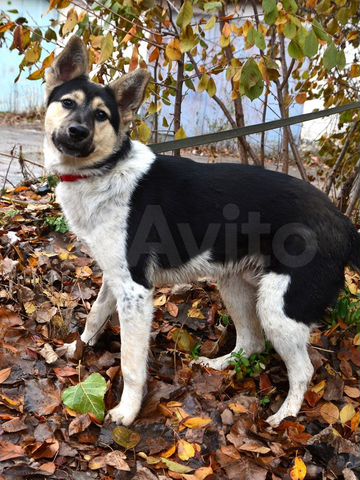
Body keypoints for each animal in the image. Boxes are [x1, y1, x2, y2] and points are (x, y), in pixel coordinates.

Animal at [43, 37, 360, 428]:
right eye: (68, 103)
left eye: (102, 115)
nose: (78, 132)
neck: (104, 170)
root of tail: (343, 223)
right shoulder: (114, 278)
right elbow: (95, 316)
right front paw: (77, 349)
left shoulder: (135, 291)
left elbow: (131, 363)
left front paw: (127, 410)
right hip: (235, 285)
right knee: (251, 343)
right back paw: (220, 364)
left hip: (278, 308)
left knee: (303, 369)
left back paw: (284, 415)